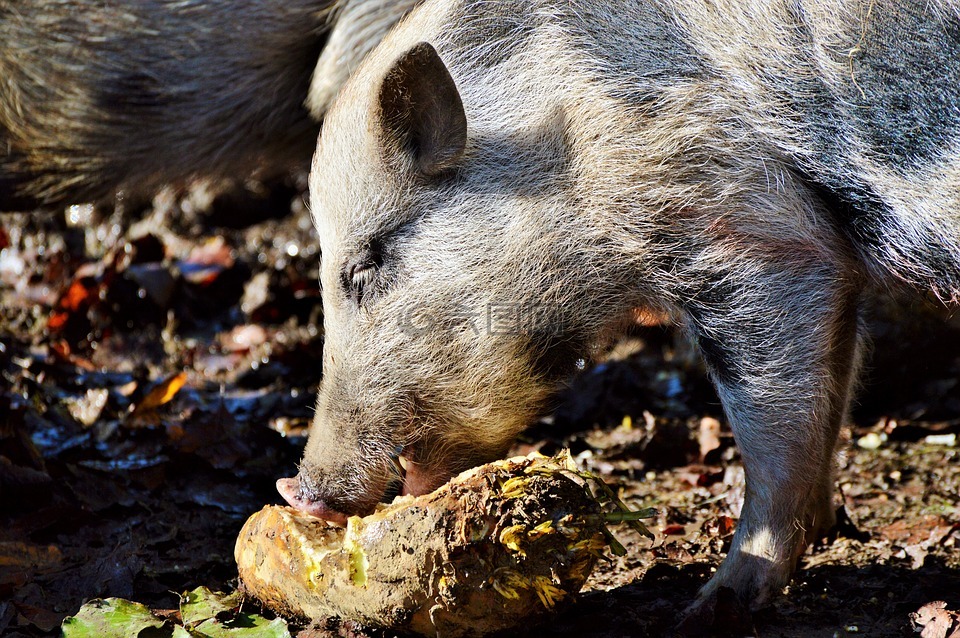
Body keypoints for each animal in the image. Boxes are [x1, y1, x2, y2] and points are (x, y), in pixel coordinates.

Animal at [278, 0, 960, 624]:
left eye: (365, 266)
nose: (297, 490)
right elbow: (833, 394)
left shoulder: (751, 239)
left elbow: (771, 434)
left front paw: (706, 610)